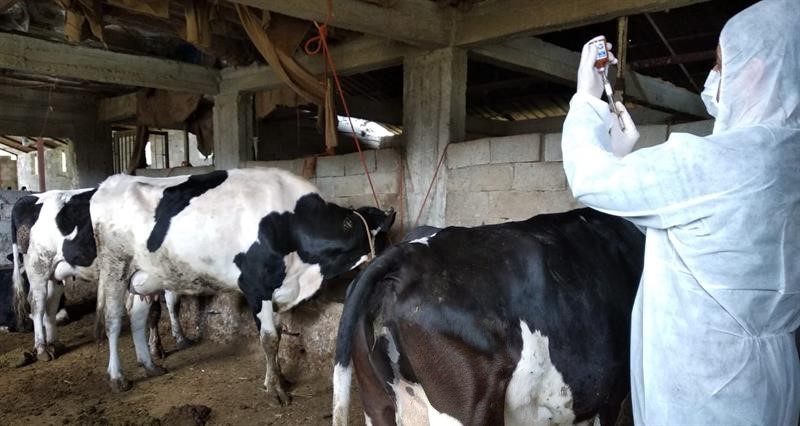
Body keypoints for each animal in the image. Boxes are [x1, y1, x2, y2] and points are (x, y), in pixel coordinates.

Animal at [10, 191, 188, 362]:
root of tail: (30, 197)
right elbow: (154, 310)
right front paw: (156, 348)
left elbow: (170, 305)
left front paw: (175, 340)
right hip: (37, 266)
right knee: (37, 304)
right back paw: (42, 349)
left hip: (54, 274)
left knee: (51, 304)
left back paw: (54, 344)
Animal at [90, 168, 394, 402]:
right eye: (381, 238)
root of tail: (111, 181)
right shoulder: (256, 287)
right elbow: (269, 339)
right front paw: (276, 389)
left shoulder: (280, 289)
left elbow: (279, 335)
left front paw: (280, 377)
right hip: (115, 267)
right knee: (114, 321)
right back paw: (117, 377)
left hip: (145, 276)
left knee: (138, 317)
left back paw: (150, 365)